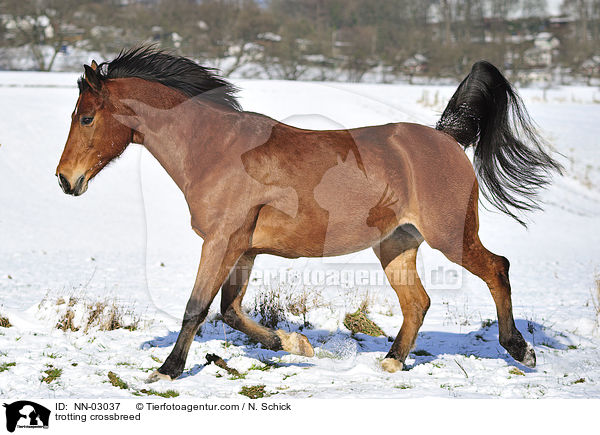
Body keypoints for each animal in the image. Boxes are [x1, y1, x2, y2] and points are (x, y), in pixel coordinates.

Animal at [56, 46, 564, 382]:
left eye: (86, 117)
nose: (65, 180)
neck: (216, 149)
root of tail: (445, 137)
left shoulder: (222, 240)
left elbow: (196, 307)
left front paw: (166, 370)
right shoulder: (244, 249)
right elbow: (230, 311)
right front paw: (297, 346)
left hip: (451, 236)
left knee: (497, 269)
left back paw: (521, 351)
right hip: (396, 244)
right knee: (417, 302)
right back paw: (391, 361)